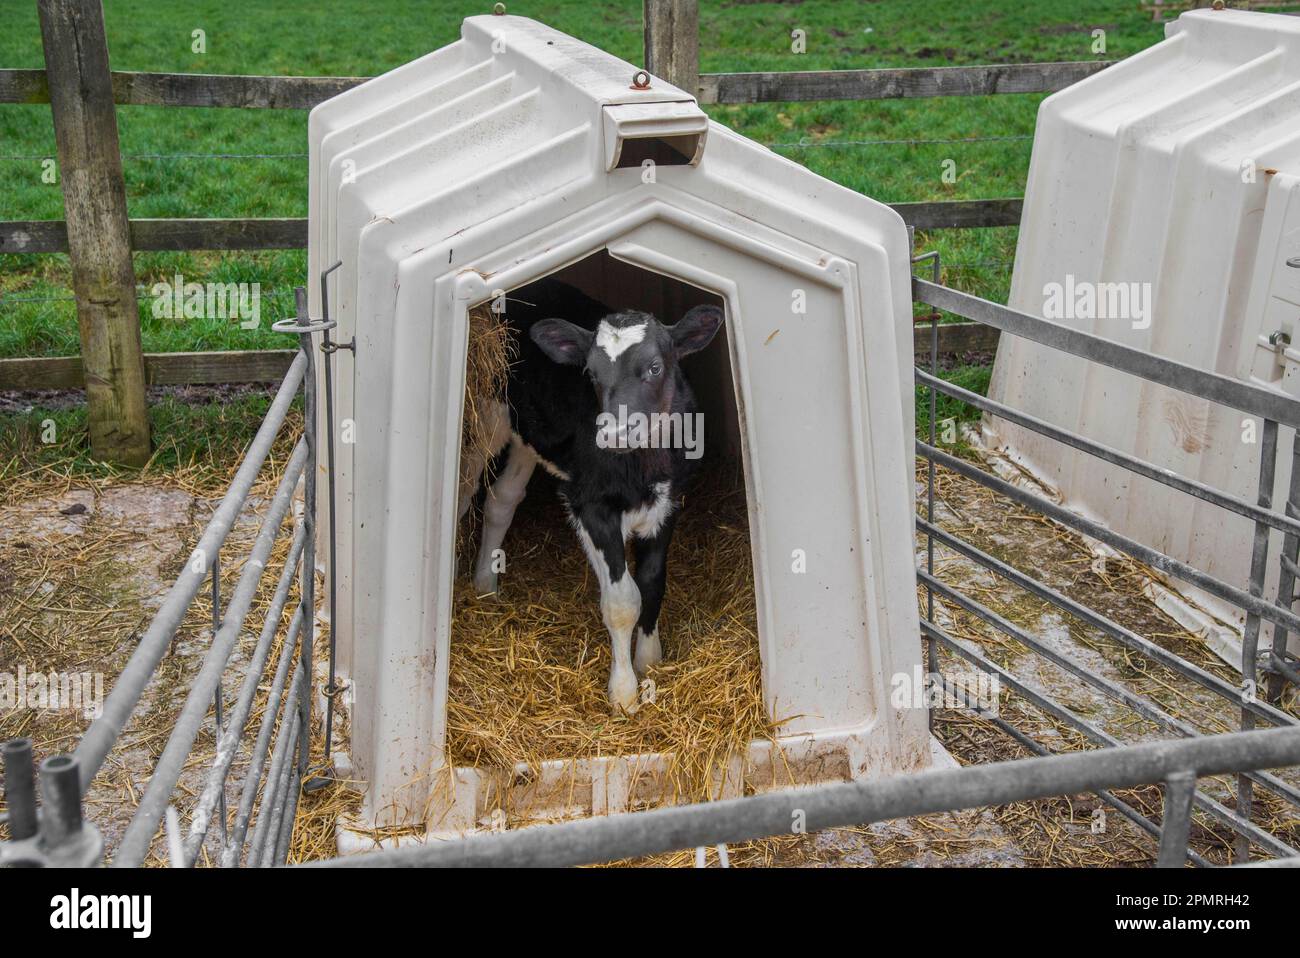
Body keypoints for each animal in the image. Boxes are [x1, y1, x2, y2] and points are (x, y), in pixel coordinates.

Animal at [459, 278, 724, 713]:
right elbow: (623, 600)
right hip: (489, 412)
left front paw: (650, 660)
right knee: (466, 490)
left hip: (531, 435)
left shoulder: (670, 500)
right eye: (591, 373)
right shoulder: (589, 503)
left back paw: (485, 584)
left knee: (503, 499)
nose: (615, 432)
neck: (642, 468)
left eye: (655, 367)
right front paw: (624, 693)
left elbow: (653, 581)